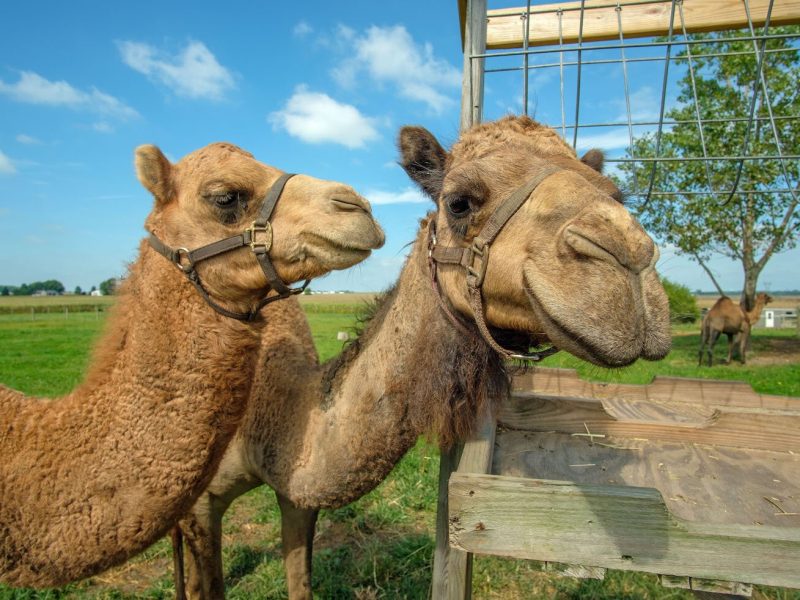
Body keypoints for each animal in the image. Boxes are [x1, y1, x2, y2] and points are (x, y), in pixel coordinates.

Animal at [175, 116, 672, 599]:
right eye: (459, 203)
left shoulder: (296, 498)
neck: (277, 406)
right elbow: (205, 585)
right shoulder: (198, 503)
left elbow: (300, 582)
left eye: (617, 194)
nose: (628, 257)